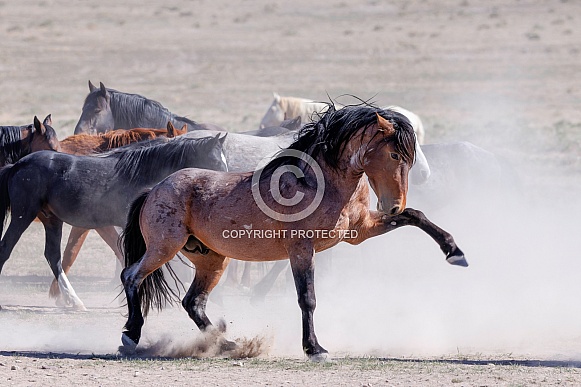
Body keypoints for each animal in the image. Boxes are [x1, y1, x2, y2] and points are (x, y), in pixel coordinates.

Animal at [119, 105, 466, 360]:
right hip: (165, 246)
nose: (393, 204)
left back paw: (228, 344)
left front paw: (455, 252)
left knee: (193, 302)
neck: (320, 183)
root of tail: (155, 189)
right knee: (132, 276)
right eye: (395, 155)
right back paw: (130, 336)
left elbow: (416, 216)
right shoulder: (302, 248)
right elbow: (307, 298)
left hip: (212, 260)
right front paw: (315, 349)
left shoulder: (360, 232)